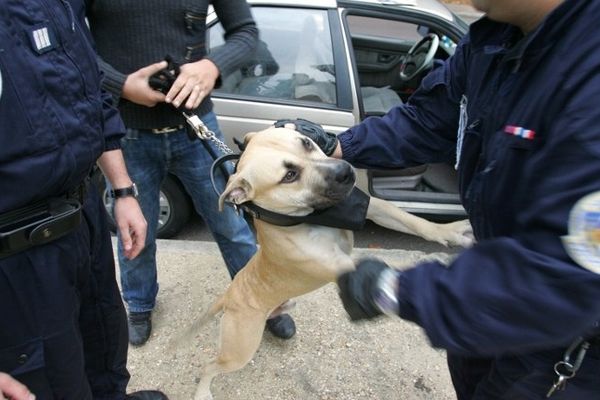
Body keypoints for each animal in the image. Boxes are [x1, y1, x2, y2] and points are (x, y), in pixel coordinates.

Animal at [185, 126, 472, 398]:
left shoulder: (372, 208)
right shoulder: (343, 267)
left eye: (307, 142)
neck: (310, 219)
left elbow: (415, 222)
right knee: (209, 366)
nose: (344, 171)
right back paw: (202, 392)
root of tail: (229, 295)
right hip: (239, 350)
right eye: (289, 176)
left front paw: (451, 231)